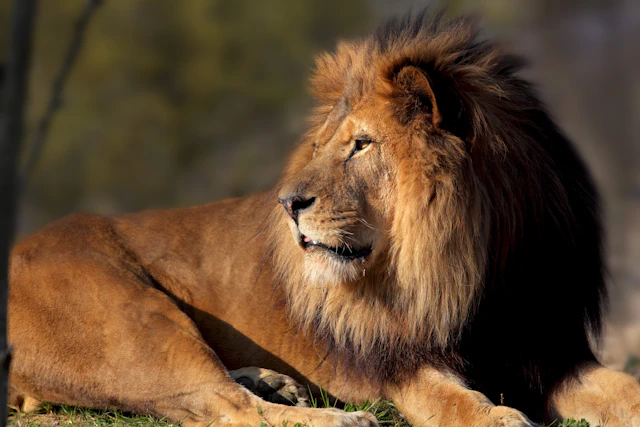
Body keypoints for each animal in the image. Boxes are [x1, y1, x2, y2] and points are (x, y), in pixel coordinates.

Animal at [7, 11, 640, 427]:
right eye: (319, 146)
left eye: (361, 145)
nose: (287, 203)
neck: (480, 266)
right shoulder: (393, 362)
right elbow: (454, 400)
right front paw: (501, 417)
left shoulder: (550, 348)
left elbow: (625, 388)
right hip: (134, 321)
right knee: (221, 408)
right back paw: (342, 420)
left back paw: (272, 381)